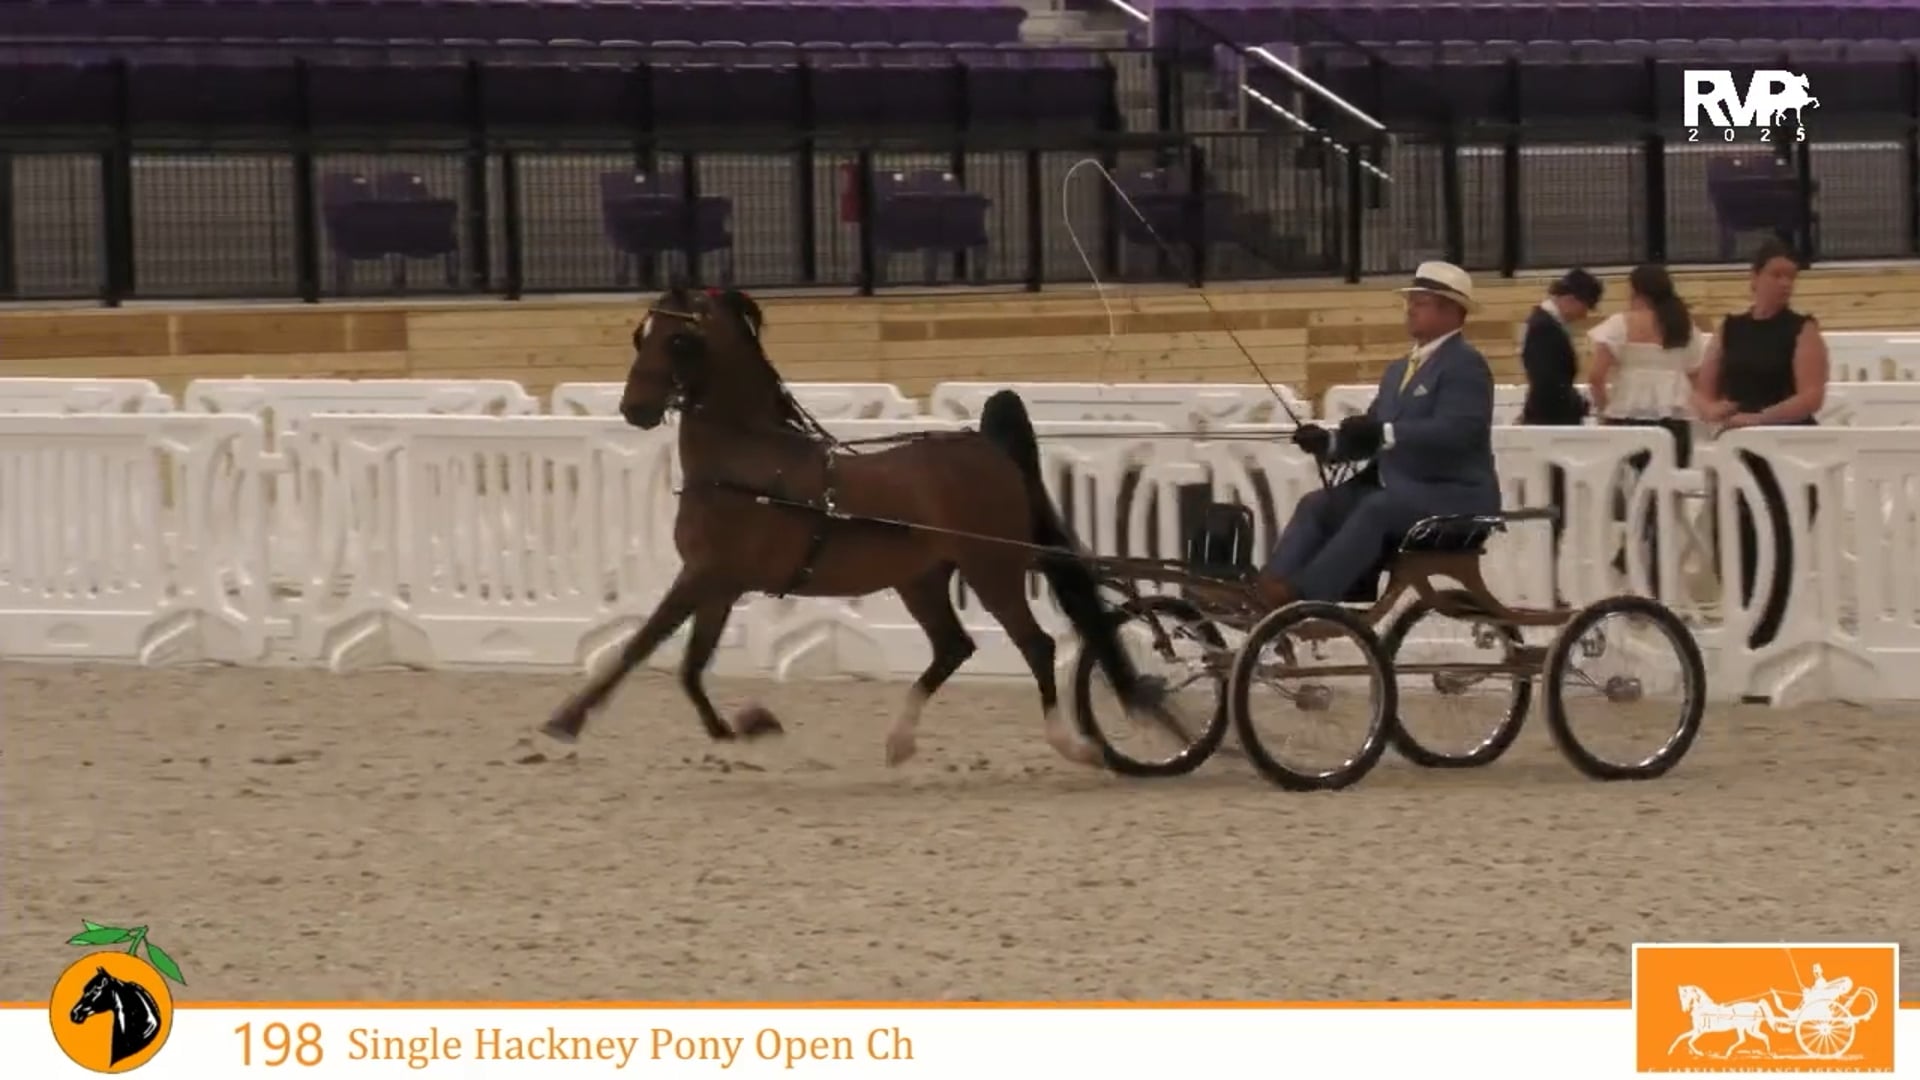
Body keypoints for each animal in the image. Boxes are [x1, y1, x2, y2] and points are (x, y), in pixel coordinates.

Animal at [542, 286, 1162, 767]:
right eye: (639, 334)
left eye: (679, 340)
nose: (635, 409)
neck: (745, 461)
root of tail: (984, 445)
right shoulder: (718, 583)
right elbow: (689, 667)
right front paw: (743, 727)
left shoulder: (703, 576)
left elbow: (639, 645)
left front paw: (566, 720)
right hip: (922, 579)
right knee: (953, 647)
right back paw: (900, 740)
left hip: (993, 569)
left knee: (1034, 644)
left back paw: (1069, 743)